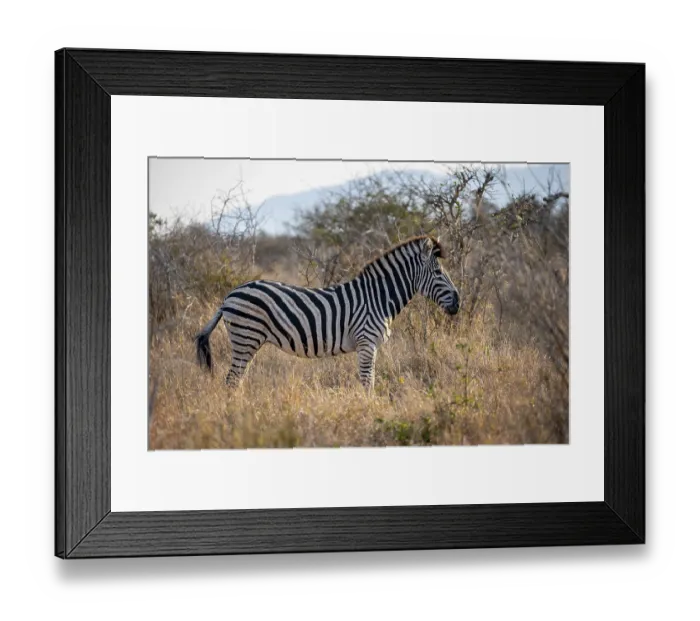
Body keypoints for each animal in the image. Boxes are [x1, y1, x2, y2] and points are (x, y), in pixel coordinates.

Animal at [195, 235, 460, 391]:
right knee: (231, 380)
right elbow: (368, 383)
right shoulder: (366, 343)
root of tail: (228, 297)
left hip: (247, 340)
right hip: (246, 336)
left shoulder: (367, 345)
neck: (378, 298)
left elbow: (369, 381)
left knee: (236, 380)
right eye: (438, 272)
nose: (458, 302)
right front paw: (369, 410)